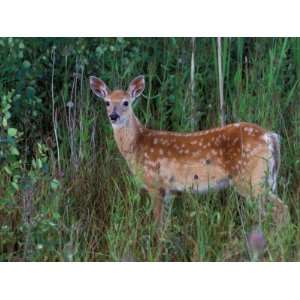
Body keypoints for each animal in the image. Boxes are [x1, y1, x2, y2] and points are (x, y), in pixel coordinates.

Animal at [89, 74, 288, 225]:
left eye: (126, 102)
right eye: (107, 102)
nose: (113, 116)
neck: (137, 144)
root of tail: (271, 136)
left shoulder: (155, 184)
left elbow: (158, 226)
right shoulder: (169, 191)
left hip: (251, 180)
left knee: (281, 209)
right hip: (265, 179)